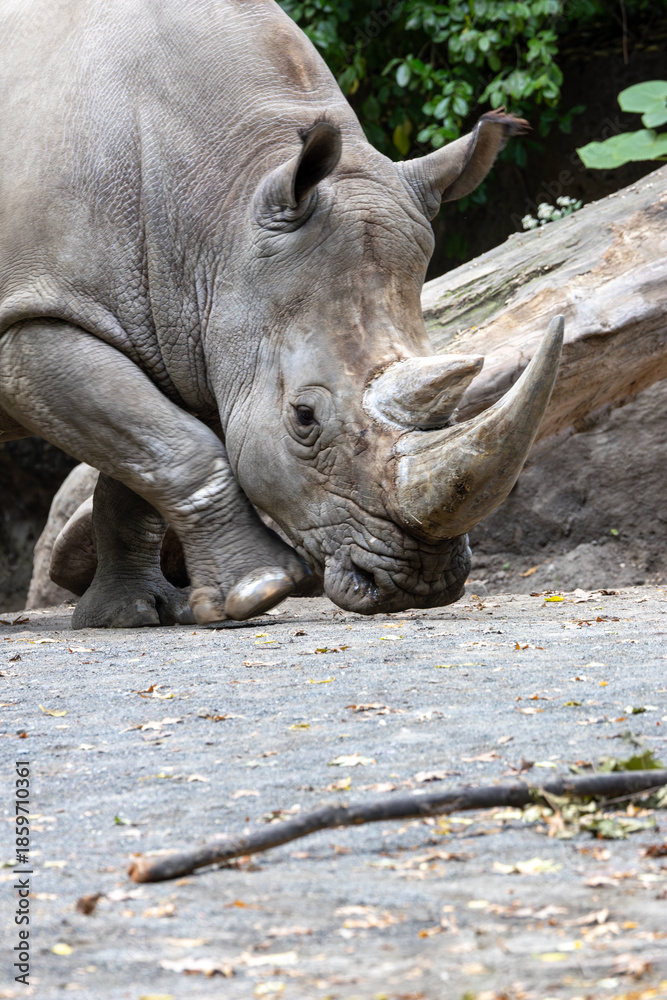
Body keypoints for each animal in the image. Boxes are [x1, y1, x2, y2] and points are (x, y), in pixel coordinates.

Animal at [0, 0, 562, 628]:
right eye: (304, 417)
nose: (419, 583)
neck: (218, 207)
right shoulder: (33, 319)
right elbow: (173, 445)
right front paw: (258, 591)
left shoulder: (194, 328)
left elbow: (144, 461)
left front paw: (128, 615)